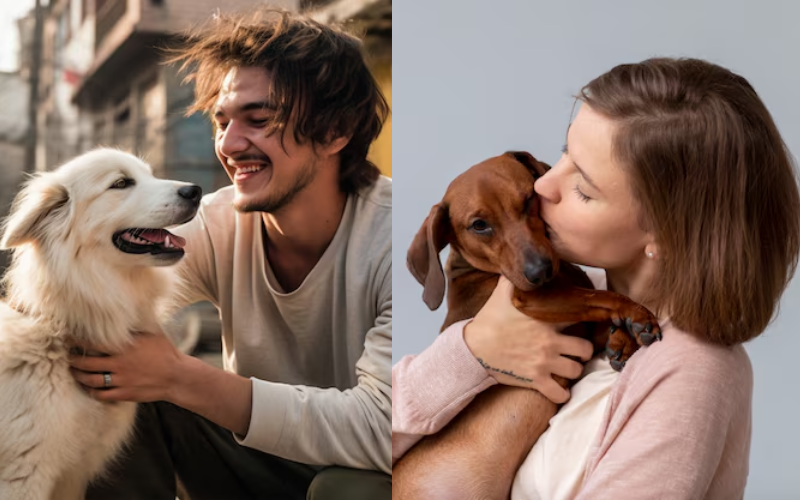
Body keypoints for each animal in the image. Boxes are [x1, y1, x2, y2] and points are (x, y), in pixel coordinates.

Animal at [0, 148, 202, 500]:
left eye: (150, 175)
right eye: (121, 183)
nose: (195, 191)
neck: (63, 337)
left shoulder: (71, 478)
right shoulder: (22, 476)